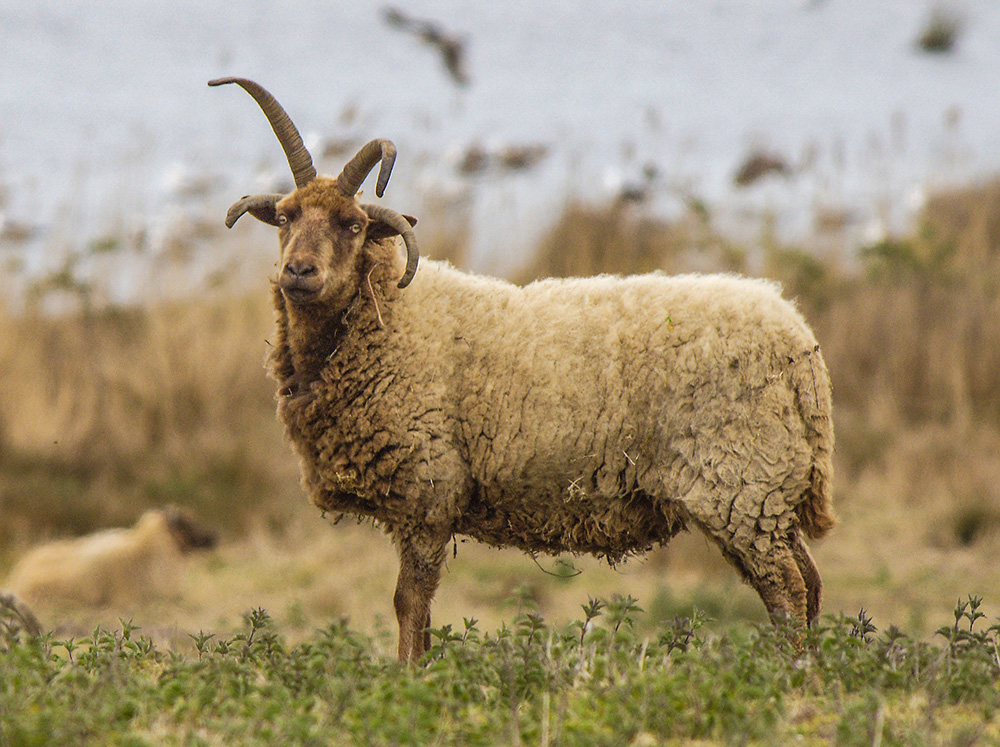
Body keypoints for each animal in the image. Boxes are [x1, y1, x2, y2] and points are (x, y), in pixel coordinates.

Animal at [211, 76, 836, 660]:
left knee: (786, 590)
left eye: (353, 225)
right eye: (284, 217)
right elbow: (423, 614)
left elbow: (409, 605)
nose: (299, 272)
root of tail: (801, 346)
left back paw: (788, 677)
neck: (392, 318)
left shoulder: (428, 493)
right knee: (807, 581)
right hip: (765, 493)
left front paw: (406, 680)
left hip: (738, 483)